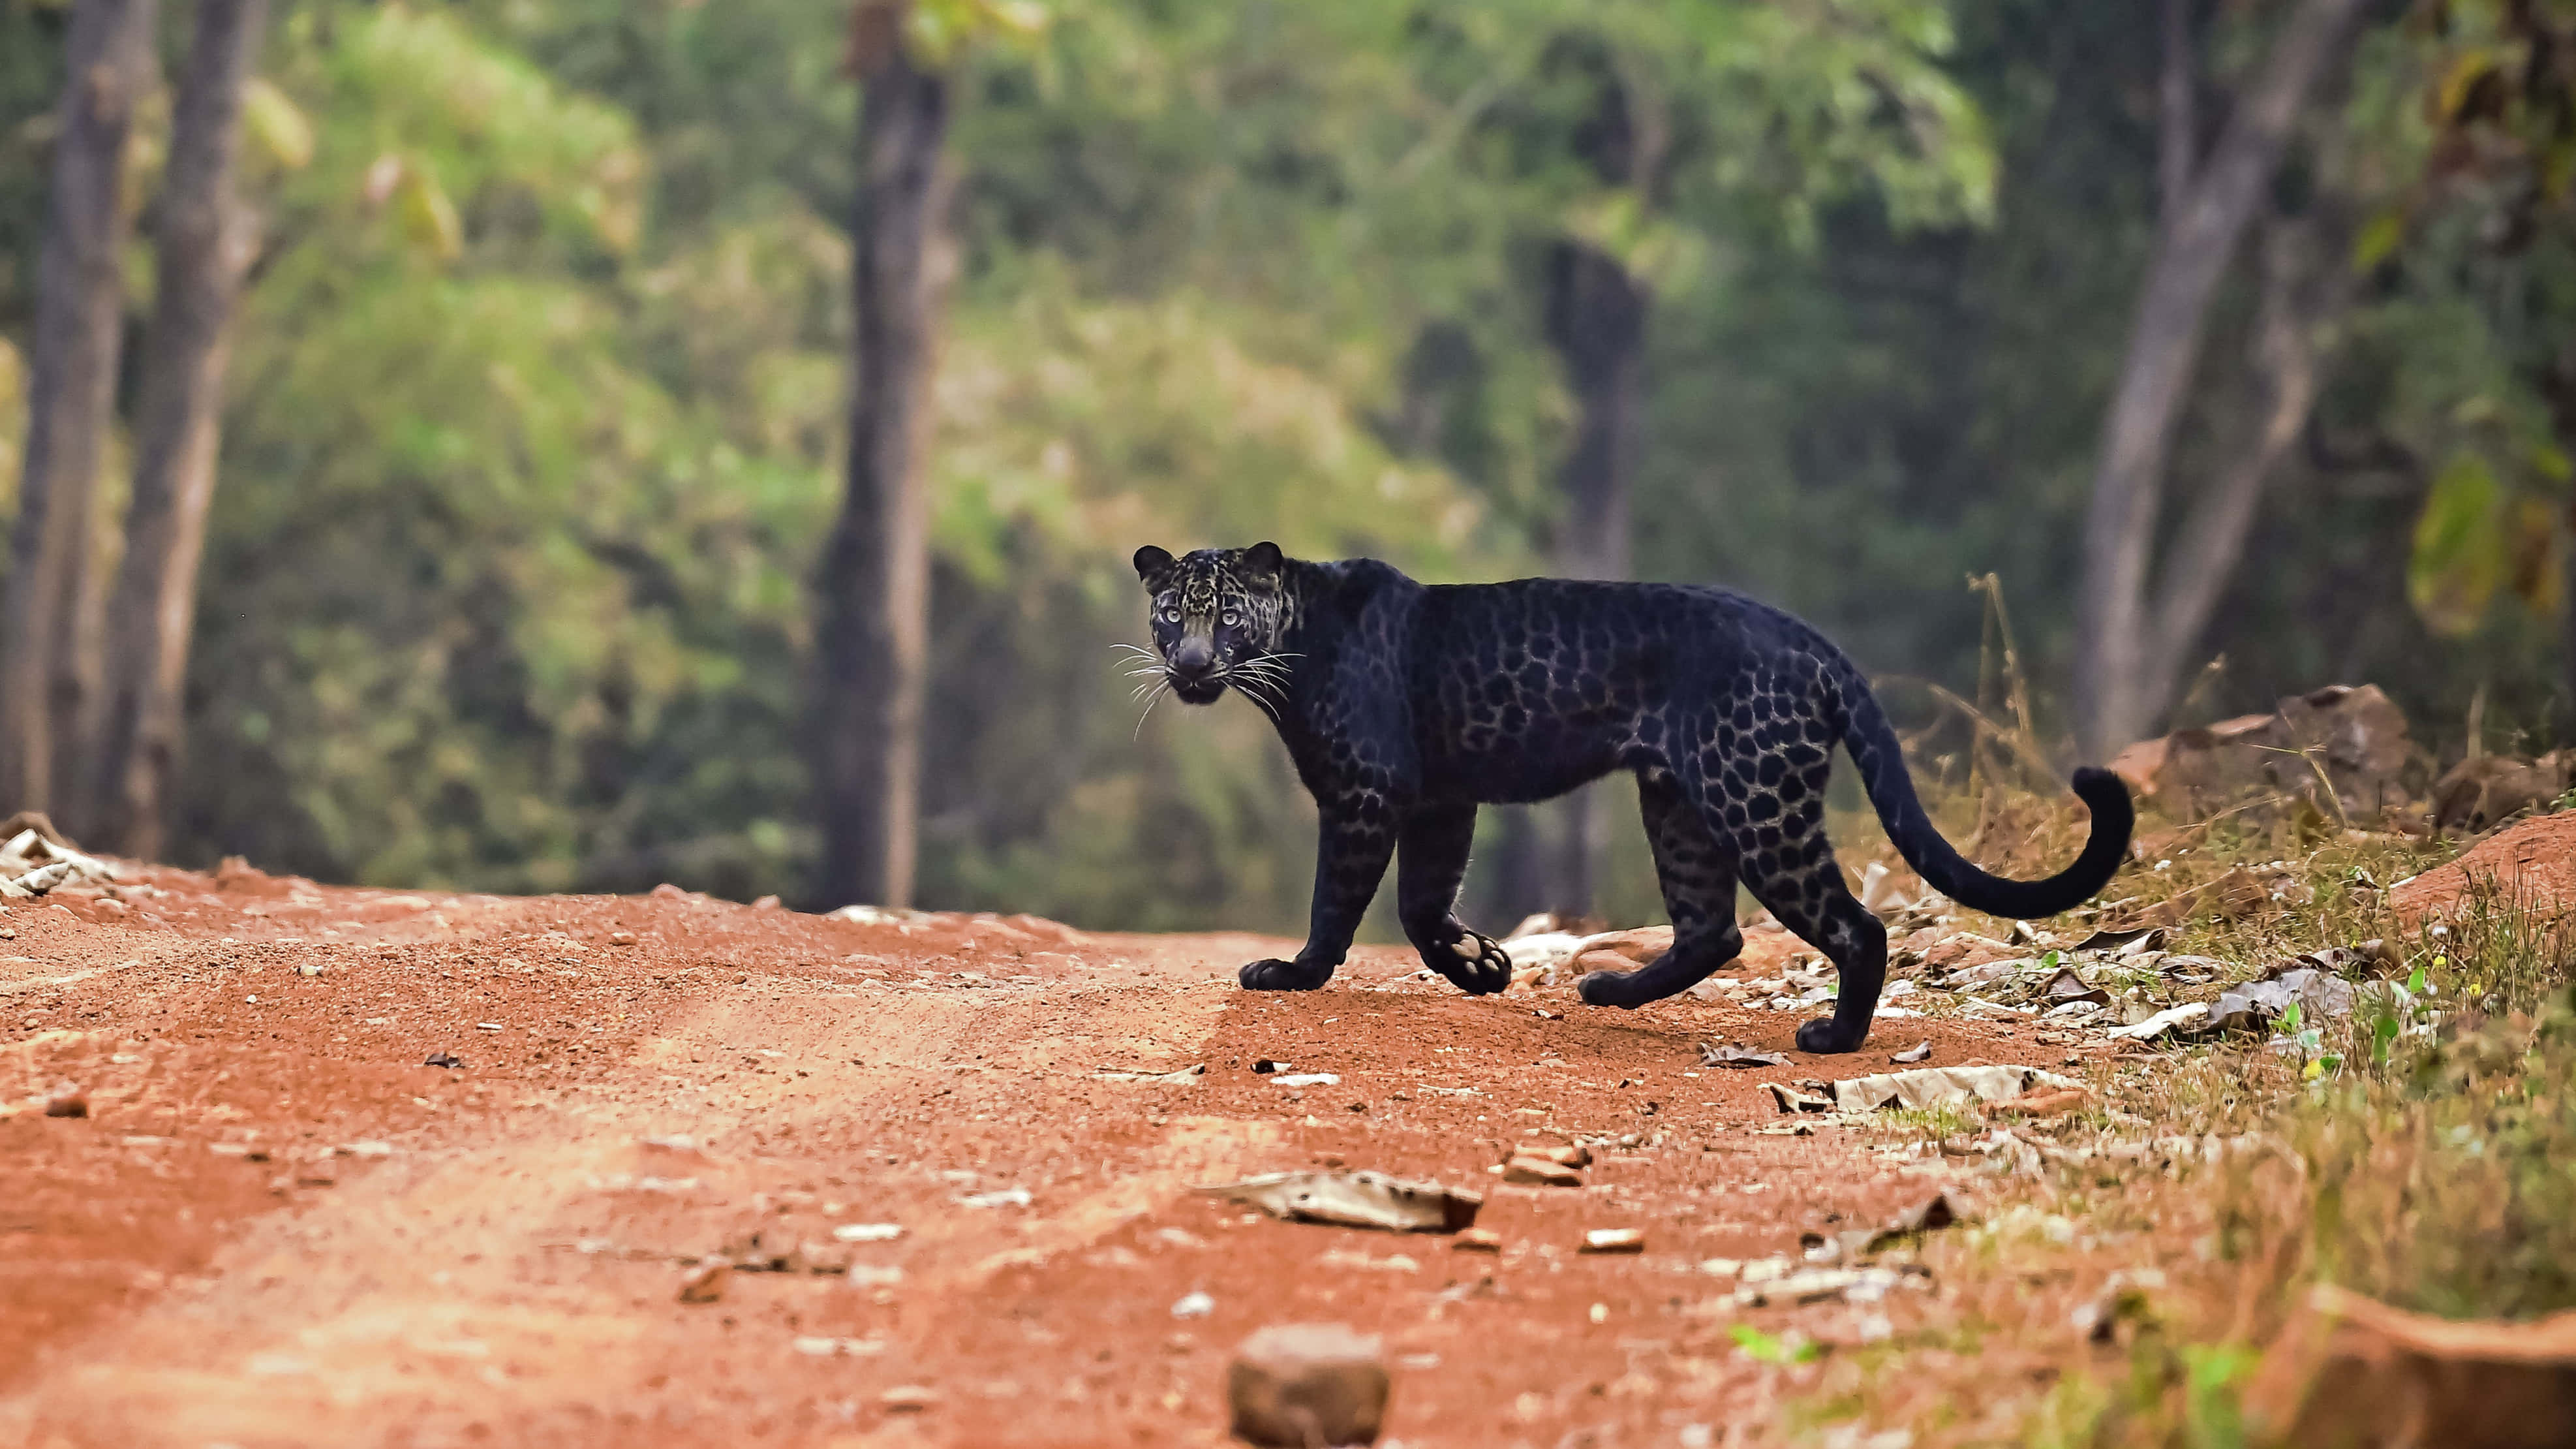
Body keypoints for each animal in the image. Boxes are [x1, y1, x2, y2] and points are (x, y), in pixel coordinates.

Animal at [1128, 542, 2133, 1053]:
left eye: (1226, 613)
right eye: (1172, 614)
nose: (1191, 663)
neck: (1291, 647)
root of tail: (1810, 640)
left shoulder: (1368, 793)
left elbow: (1339, 900)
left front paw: (1293, 973)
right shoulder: (1443, 799)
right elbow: (1420, 904)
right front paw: (1483, 966)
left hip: (1753, 800)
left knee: (1856, 925)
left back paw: (1833, 1039)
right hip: (1679, 803)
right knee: (1712, 929)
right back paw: (1612, 992)